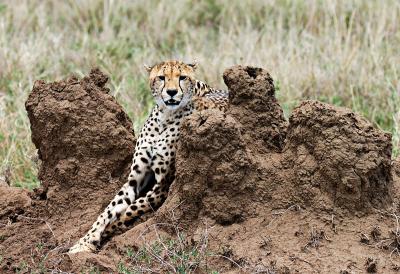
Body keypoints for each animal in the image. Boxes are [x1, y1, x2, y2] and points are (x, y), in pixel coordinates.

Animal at [69, 60, 228, 253]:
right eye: (162, 77)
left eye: (182, 77)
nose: (172, 92)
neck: (165, 117)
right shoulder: (134, 179)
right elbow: (108, 210)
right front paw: (84, 242)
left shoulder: (162, 186)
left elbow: (128, 211)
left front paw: (106, 235)